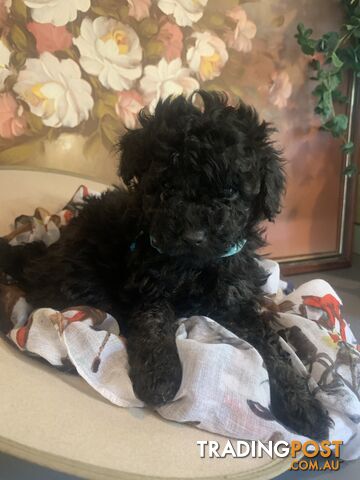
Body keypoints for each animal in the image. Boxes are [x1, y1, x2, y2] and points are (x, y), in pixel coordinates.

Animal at [0, 90, 332, 438]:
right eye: (167, 187)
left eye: (230, 191)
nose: (194, 235)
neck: (195, 266)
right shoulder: (150, 286)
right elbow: (154, 324)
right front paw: (160, 377)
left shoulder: (237, 300)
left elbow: (271, 348)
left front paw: (304, 404)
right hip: (79, 274)